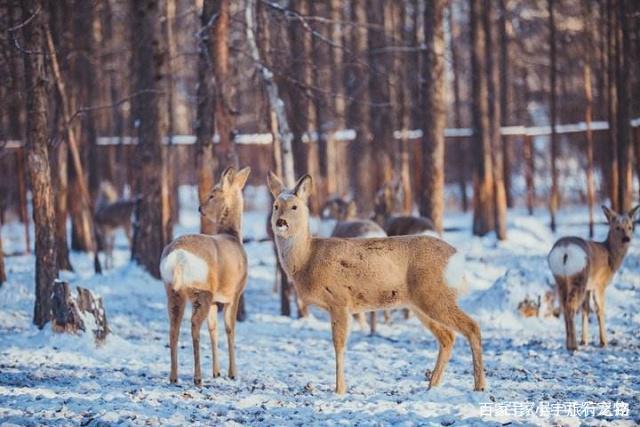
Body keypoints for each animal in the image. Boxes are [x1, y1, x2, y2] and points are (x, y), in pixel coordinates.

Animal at [159, 166, 251, 384]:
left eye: (211, 195)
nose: (200, 208)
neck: (233, 237)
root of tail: (177, 256)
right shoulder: (235, 293)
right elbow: (230, 329)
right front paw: (232, 373)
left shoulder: (217, 300)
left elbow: (213, 329)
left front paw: (216, 372)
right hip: (201, 290)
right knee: (193, 326)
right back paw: (197, 377)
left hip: (172, 290)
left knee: (173, 328)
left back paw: (174, 376)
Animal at [266, 173, 484, 394]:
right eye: (276, 206)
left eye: (294, 206)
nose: (281, 222)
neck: (307, 258)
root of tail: (457, 258)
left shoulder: (339, 300)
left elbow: (339, 345)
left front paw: (339, 390)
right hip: (420, 303)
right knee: (447, 337)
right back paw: (432, 385)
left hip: (435, 294)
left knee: (472, 327)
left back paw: (479, 386)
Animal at [548, 206, 636, 352]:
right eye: (617, 227)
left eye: (630, 227)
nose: (627, 239)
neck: (611, 257)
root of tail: (565, 251)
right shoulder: (600, 284)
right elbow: (600, 309)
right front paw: (603, 342)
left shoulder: (589, 288)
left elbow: (586, 310)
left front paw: (585, 340)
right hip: (579, 276)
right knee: (570, 306)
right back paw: (573, 346)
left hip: (560, 278)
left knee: (564, 306)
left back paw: (569, 344)